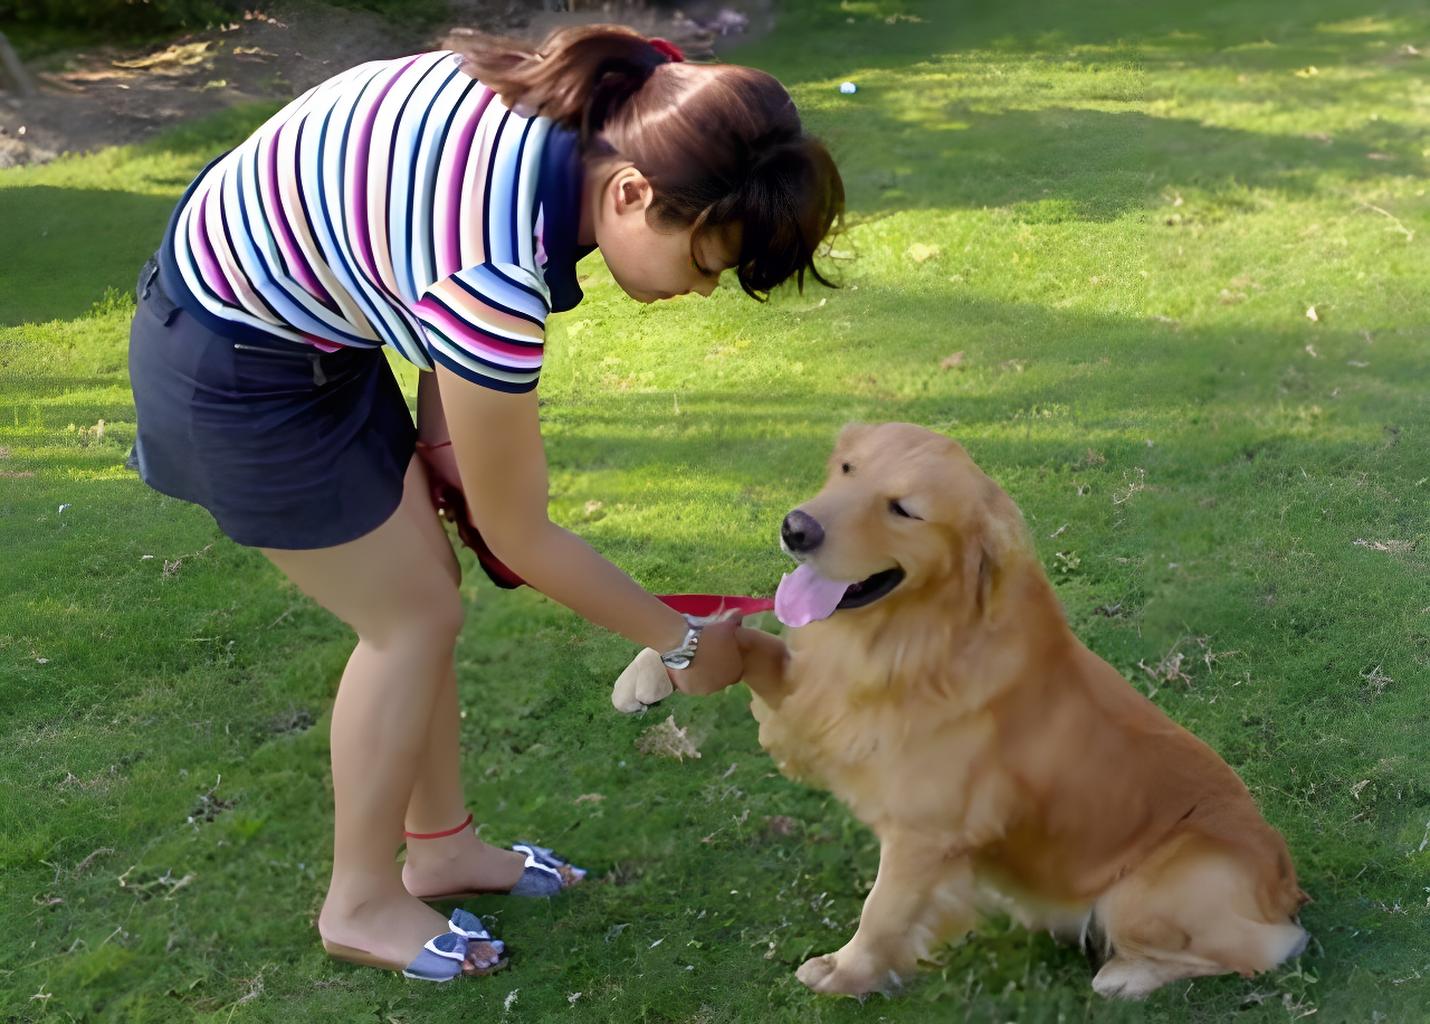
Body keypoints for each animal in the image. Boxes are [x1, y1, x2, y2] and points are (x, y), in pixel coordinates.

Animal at [737, 423, 1309, 1001]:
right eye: (847, 469)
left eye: (903, 509)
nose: (796, 528)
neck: (918, 639)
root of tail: (1286, 886)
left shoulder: (924, 834)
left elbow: (881, 913)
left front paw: (847, 971)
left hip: (1140, 894)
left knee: (1264, 949)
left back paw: (1126, 974)